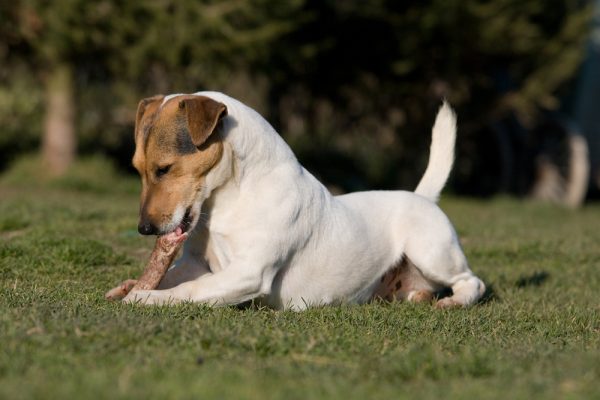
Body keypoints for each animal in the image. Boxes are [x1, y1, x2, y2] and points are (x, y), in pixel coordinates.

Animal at [120, 91, 482, 310]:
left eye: (164, 169)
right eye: (136, 168)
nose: (144, 229)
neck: (225, 202)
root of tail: (421, 196)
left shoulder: (249, 272)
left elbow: (189, 290)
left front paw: (145, 296)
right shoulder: (195, 262)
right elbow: (174, 275)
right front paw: (127, 286)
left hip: (432, 253)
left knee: (472, 281)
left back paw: (455, 301)